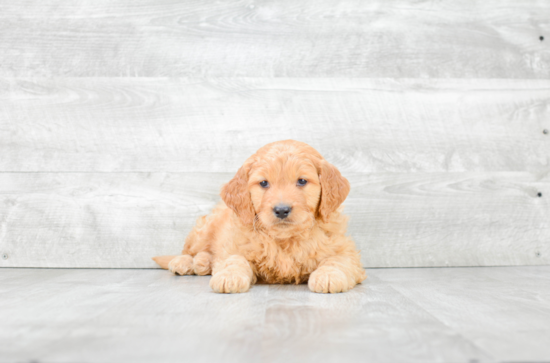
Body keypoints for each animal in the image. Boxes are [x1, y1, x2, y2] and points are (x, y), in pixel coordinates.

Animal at [153, 139, 368, 292]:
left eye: (302, 181)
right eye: (264, 183)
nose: (281, 210)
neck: (284, 240)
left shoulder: (344, 249)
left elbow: (337, 260)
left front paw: (329, 276)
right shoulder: (235, 244)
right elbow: (233, 259)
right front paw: (228, 276)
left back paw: (203, 263)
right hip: (203, 230)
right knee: (190, 250)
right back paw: (186, 262)